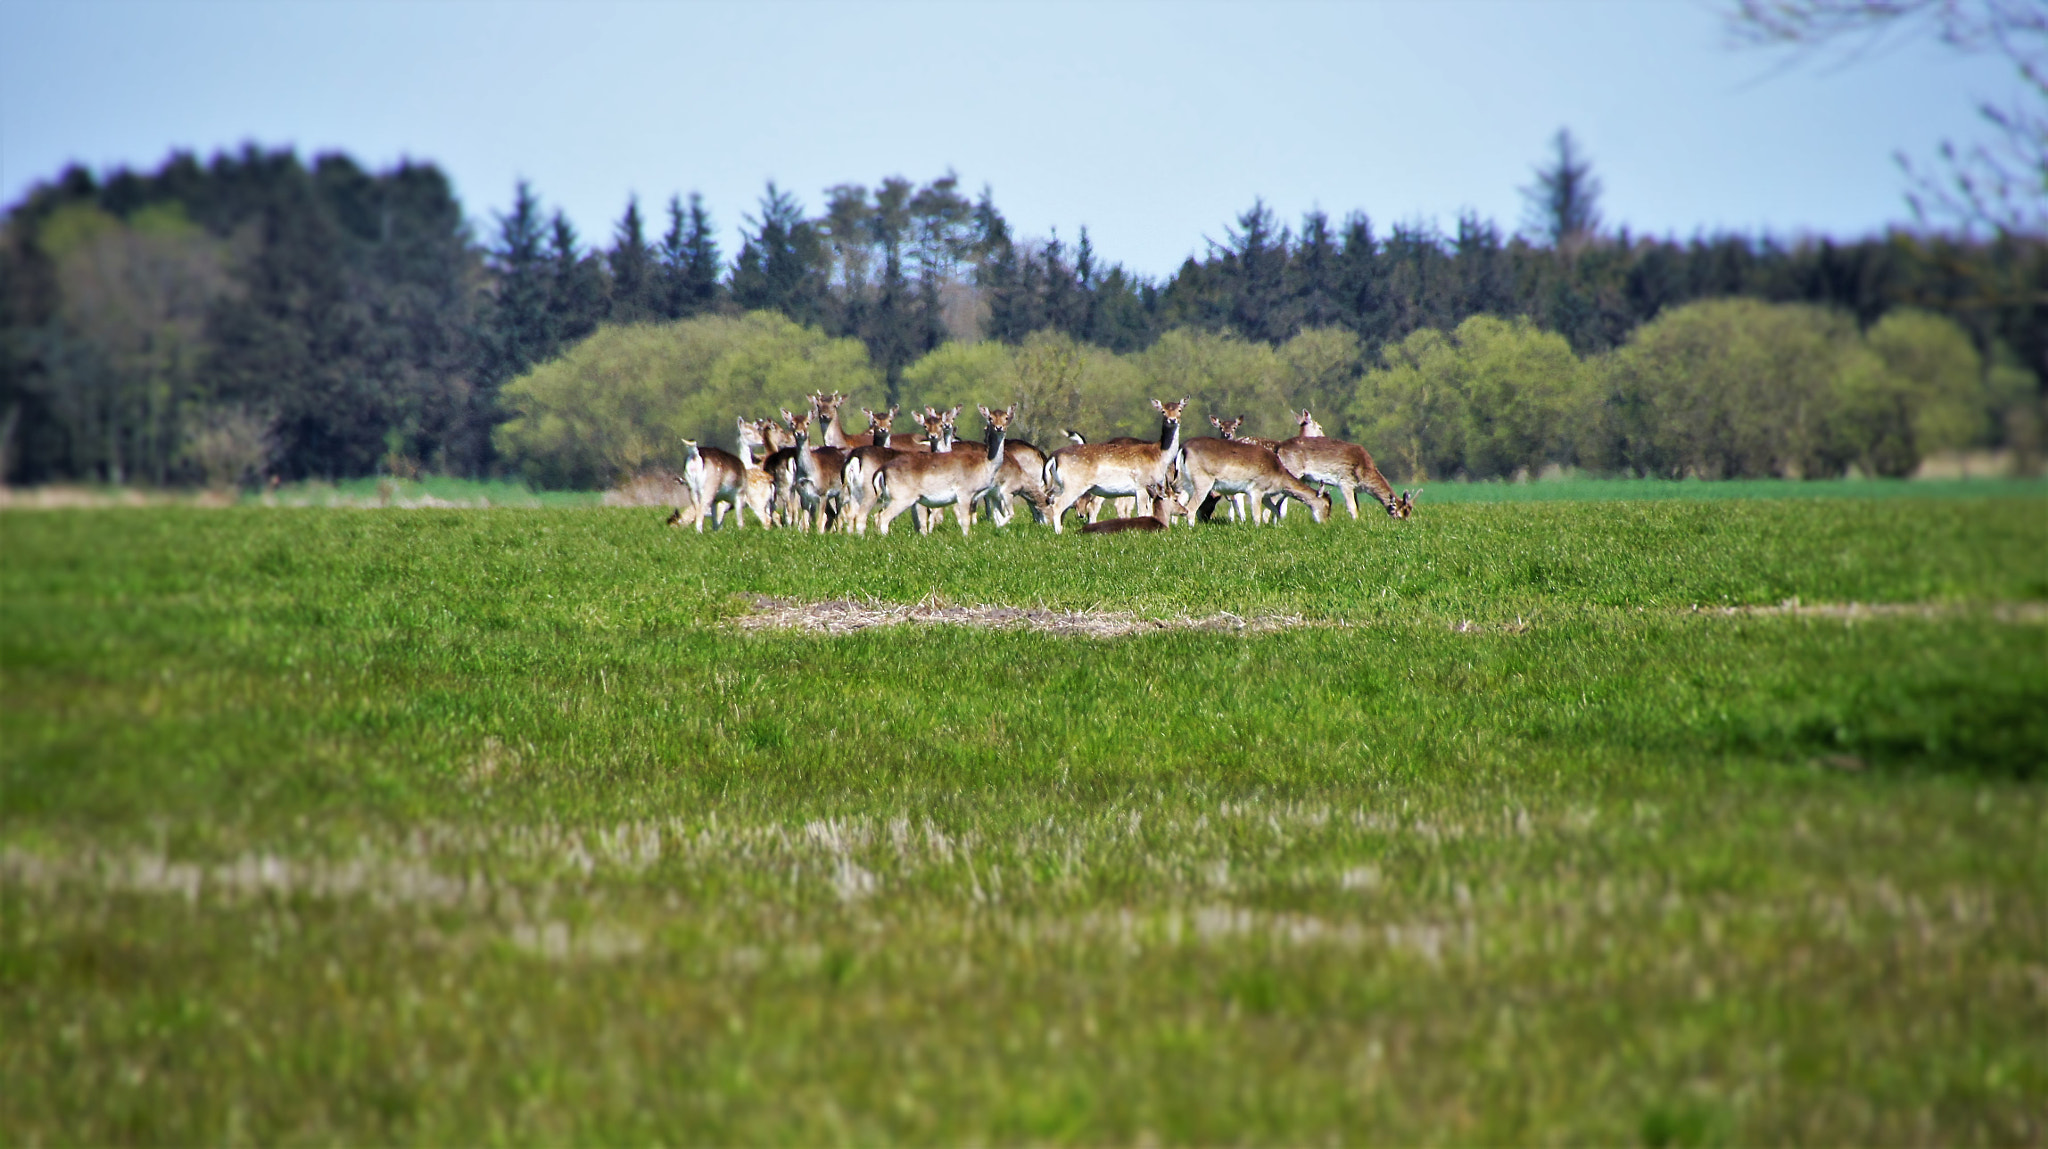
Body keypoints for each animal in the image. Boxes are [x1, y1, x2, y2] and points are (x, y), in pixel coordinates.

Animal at [872, 405, 1013, 536]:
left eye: (1007, 417)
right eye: (990, 418)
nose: (999, 427)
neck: (985, 465)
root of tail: (881, 470)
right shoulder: (965, 492)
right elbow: (965, 521)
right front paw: (966, 538)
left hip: (890, 498)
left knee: (879, 515)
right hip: (902, 497)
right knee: (884, 517)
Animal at [1042, 399, 1188, 534]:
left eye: (1179, 410)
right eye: (1163, 411)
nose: (1172, 420)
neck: (1159, 456)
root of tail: (1053, 456)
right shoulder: (1141, 485)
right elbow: (1142, 511)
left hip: (1060, 485)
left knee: (1056, 502)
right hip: (1074, 485)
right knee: (1059, 505)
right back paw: (1059, 533)